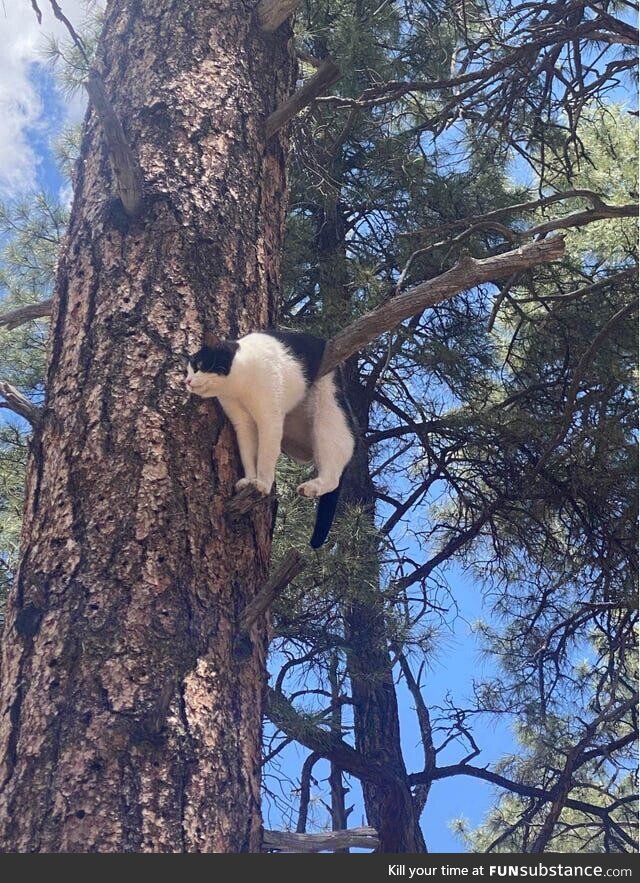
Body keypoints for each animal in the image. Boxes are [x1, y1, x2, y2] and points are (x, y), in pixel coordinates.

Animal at [186, 328, 356, 548]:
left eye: (198, 366)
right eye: (188, 370)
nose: (187, 382)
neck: (238, 385)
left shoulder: (270, 419)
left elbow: (266, 456)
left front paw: (263, 484)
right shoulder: (243, 423)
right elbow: (248, 454)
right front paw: (250, 480)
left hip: (328, 413)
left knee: (335, 470)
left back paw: (311, 487)